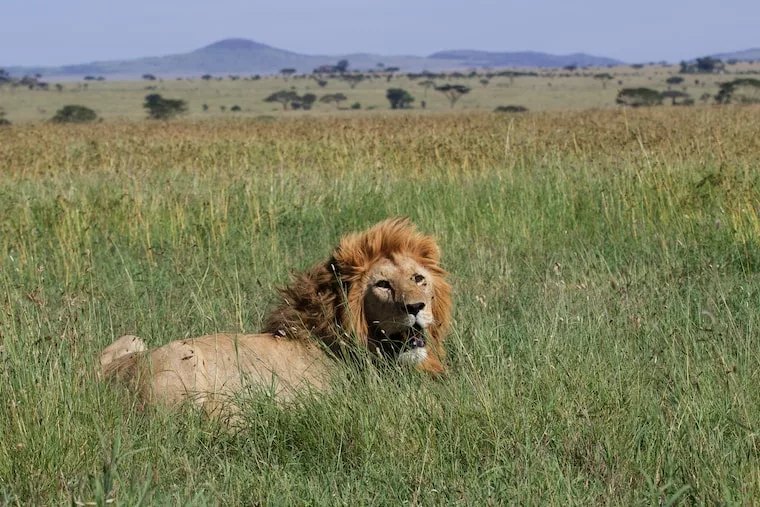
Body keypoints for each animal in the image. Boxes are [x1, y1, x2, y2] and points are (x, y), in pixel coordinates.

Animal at [97, 216, 448, 414]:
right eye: (383, 285)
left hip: (131, 340)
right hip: (186, 362)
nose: (416, 307)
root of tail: (102, 382)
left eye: (418, 278)